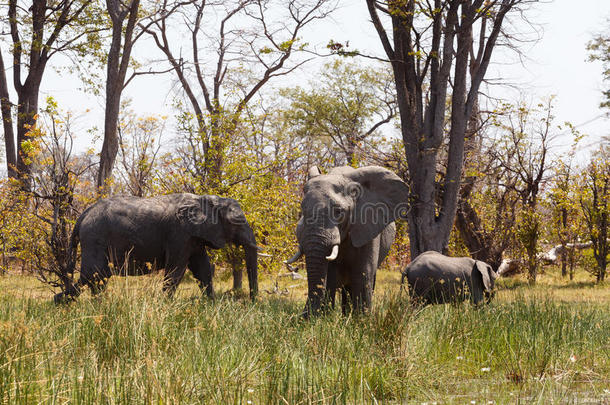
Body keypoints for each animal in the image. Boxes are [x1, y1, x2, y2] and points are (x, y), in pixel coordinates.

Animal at [52, 193, 258, 304]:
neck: (205, 199)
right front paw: (166, 304)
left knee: (98, 277)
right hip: (95, 237)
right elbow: (176, 270)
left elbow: (203, 269)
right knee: (92, 275)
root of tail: (84, 214)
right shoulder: (179, 233)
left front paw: (211, 304)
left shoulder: (194, 236)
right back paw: (62, 303)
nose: (253, 302)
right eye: (236, 223)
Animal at [284, 166, 408, 318]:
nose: (303, 317)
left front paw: (361, 320)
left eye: (338, 212)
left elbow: (362, 277)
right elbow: (330, 279)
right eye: (303, 210)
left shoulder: (368, 229)